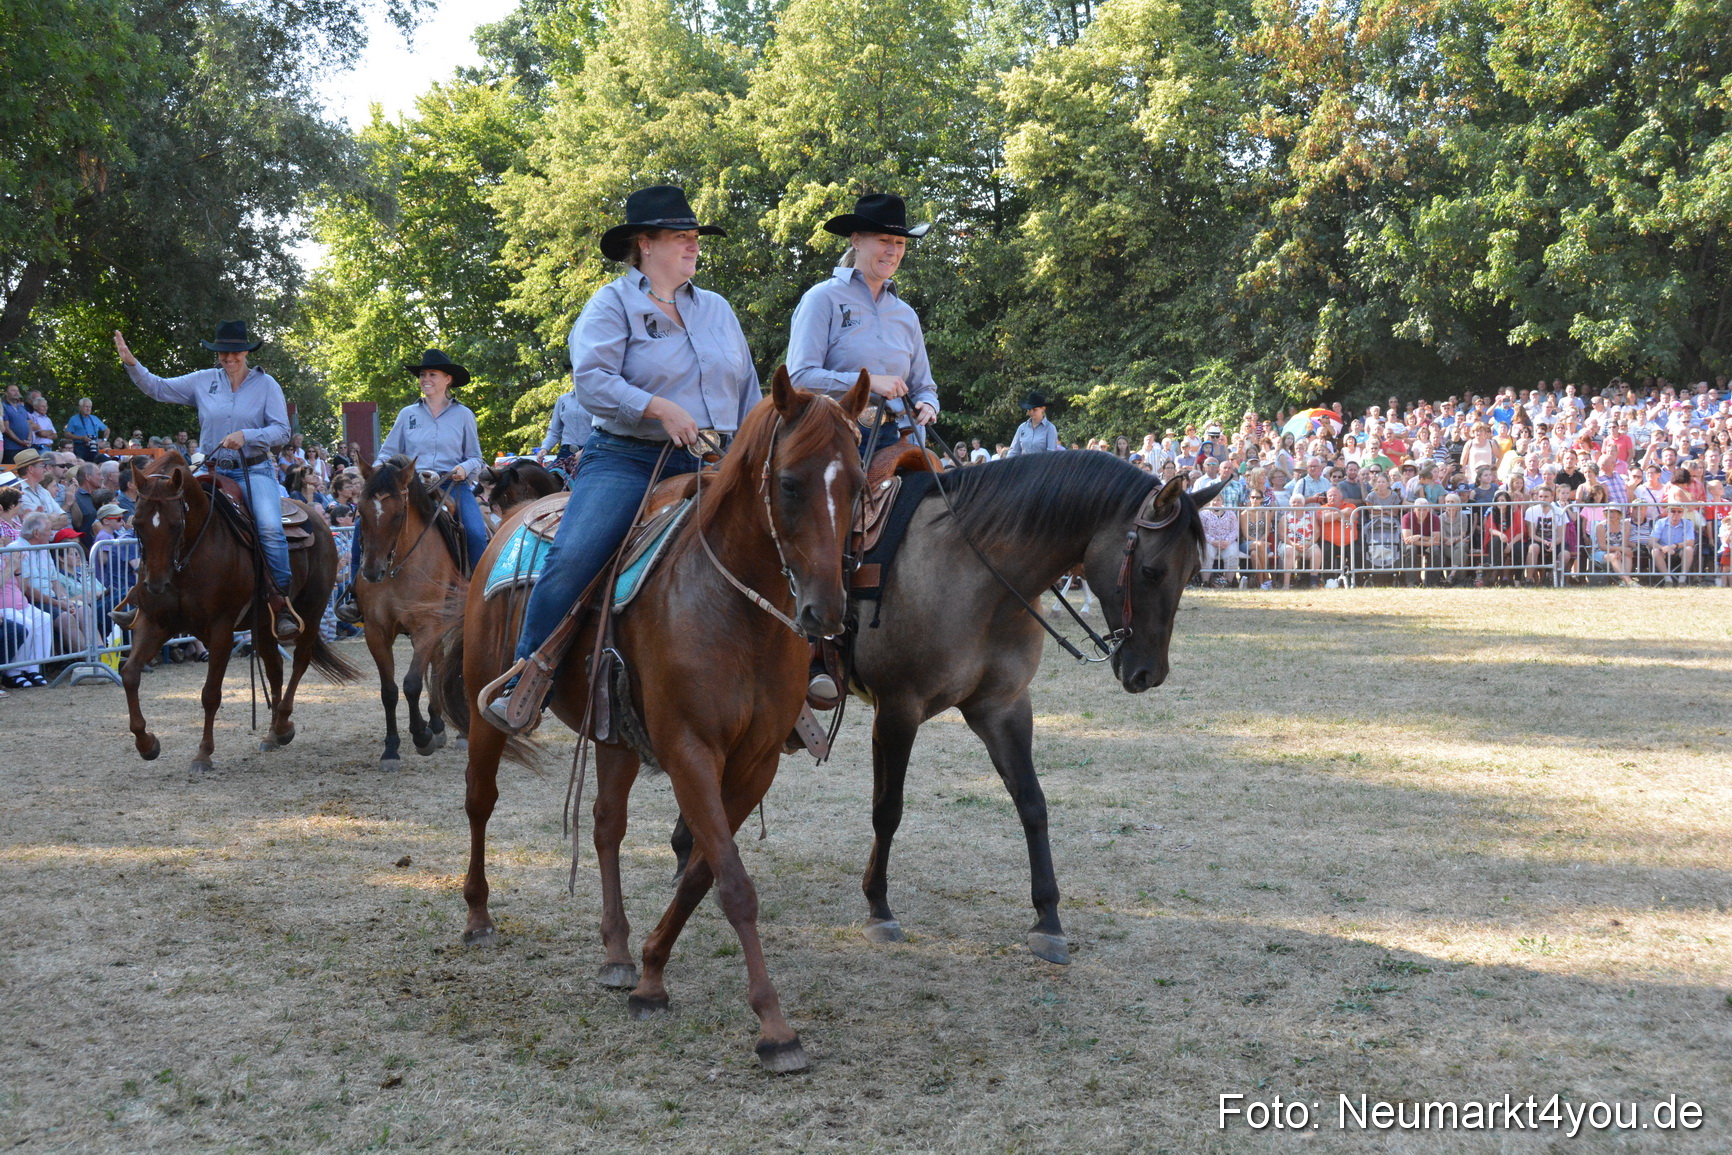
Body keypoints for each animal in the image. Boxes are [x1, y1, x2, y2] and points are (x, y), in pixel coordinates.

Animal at [121, 452, 358, 774]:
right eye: (137, 522)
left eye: (176, 524)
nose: (156, 584)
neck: (188, 560)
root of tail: (319, 521)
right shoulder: (154, 622)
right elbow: (130, 674)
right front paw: (147, 744)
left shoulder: (220, 628)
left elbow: (211, 693)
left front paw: (203, 754)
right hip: (265, 624)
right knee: (274, 668)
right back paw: (273, 733)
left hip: (311, 611)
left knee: (299, 661)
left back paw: (283, 723)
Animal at [354, 455, 470, 772]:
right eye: (360, 511)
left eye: (397, 515)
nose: (371, 572)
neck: (400, 567)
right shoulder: (376, 632)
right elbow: (389, 690)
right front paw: (391, 749)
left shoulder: (425, 628)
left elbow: (412, 684)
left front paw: (422, 737)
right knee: (439, 663)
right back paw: (439, 724)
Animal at [438, 368, 871, 1072]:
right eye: (788, 482)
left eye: (858, 484)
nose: (825, 612)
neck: (734, 612)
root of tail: (510, 521)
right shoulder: (690, 751)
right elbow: (733, 883)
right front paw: (775, 1028)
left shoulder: (755, 763)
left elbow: (703, 872)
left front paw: (649, 973)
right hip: (485, 705)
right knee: (480, 800)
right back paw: (477, 917)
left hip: (614, 734)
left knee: (605, 827)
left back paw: (615, 951)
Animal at [674, 453, 1224, 965]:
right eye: (1151, 570)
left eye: (1191, 572)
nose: (1148, 674)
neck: (975, 574)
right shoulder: (897, 712)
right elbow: (888, 809)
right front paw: (879, 908)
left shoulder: (1003, 708)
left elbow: (1032, 803)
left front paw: (1048, 919)